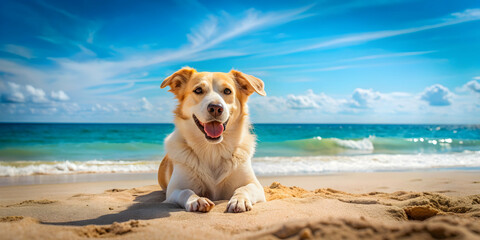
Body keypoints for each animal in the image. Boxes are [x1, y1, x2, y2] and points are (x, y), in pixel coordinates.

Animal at [159, 66, 268, 213]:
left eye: (227, 91)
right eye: (198, 90)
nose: (216, 108)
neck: (213, 149)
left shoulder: (255, 185)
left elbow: (243, 188)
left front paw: (239, 200)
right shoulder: (174, 190)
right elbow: (186, 191)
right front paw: (197, 200)